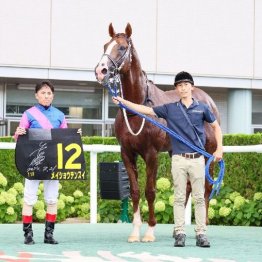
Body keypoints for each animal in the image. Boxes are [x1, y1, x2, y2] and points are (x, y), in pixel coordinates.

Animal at [95, 23, 218, 243]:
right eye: (105, 45)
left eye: (122, 47)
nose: (101, 71)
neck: (136, 110)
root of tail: (208, 101)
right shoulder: (127, 153)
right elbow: (135, 191)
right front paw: (135, 232)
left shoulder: (152, 154)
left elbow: (150, 191)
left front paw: (150, 231)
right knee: (187, 187)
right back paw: (177, 230)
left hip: (208, 155)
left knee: (205, 188)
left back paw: (202, 228)